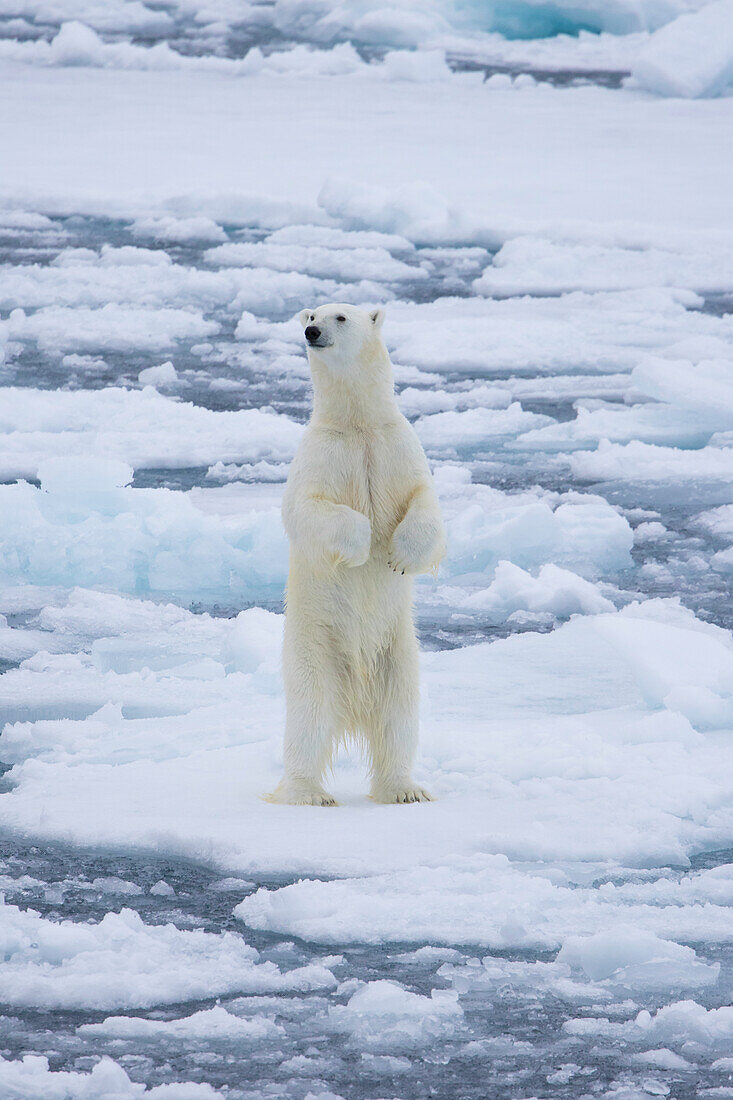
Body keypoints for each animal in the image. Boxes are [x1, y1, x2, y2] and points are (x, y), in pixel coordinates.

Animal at [267, 305, 442, 805]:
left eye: (340, 316)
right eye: (311, 312)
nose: (311, 331)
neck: (358, 424)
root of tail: (355, 704)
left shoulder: (396, 445)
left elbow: (424, 499)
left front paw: (400, 555)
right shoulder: (322, 452)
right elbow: (305, 508)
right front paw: (363, 542)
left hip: (398, 652)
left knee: (399, 717)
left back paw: (404, 789)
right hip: (314, 650)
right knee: (309, 719)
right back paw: (307, 792)